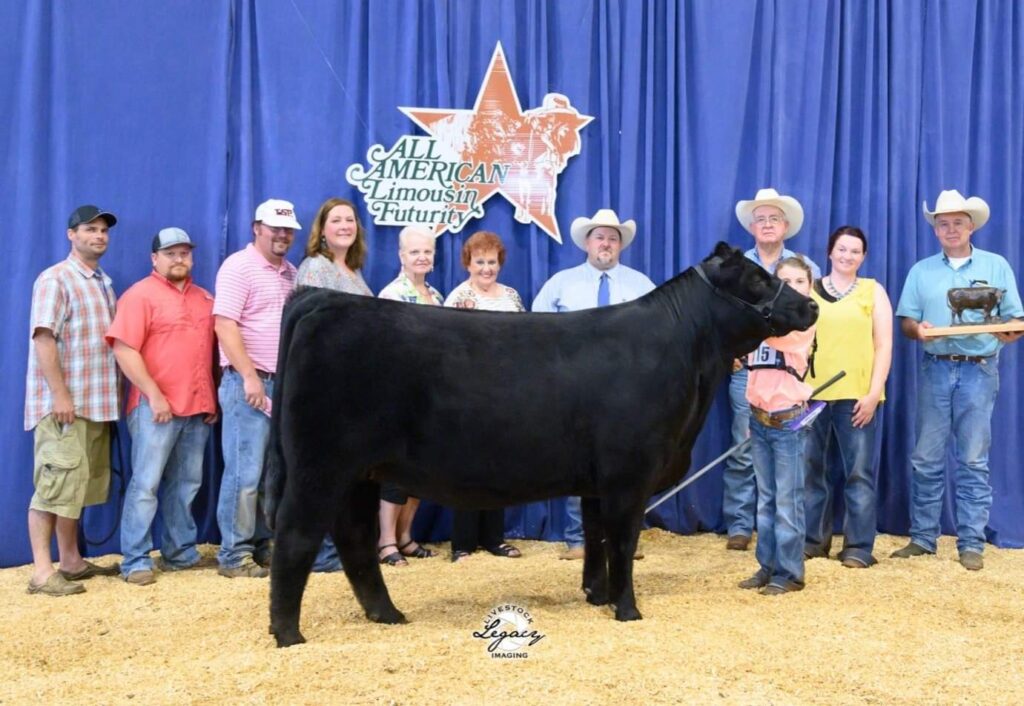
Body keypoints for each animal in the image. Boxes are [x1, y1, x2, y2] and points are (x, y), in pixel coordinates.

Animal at [264, 241, 818, 647]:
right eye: (757, 278)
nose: (811, 303)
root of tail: (322, 299)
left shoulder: (598, 481)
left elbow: (596, 537)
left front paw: (597, 594)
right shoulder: (629, 473)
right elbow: (622, 539)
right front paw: (627, 609)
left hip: (358, 473)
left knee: (354, 540)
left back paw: (387, 614)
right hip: (320, 467)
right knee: (296, 538)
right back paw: (288, 634)